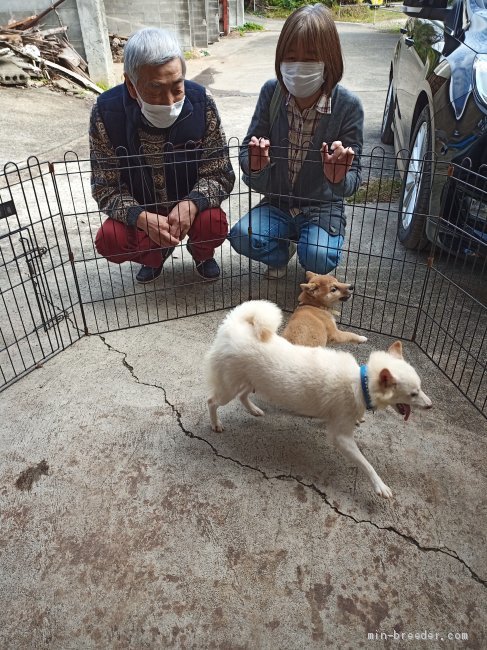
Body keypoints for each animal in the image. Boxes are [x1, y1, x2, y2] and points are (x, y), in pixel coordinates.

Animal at [204, 298, 432, 496]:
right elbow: (366, 463)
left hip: (251, 382)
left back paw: (254, 410)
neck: (361, 383)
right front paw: (380, 485)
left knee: (242, 396)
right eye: (413, 393)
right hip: (229, 388)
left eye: (421, 388)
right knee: (212, 401)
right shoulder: (342, 437)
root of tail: (234, 325)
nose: (430, 405)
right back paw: (216, 424)